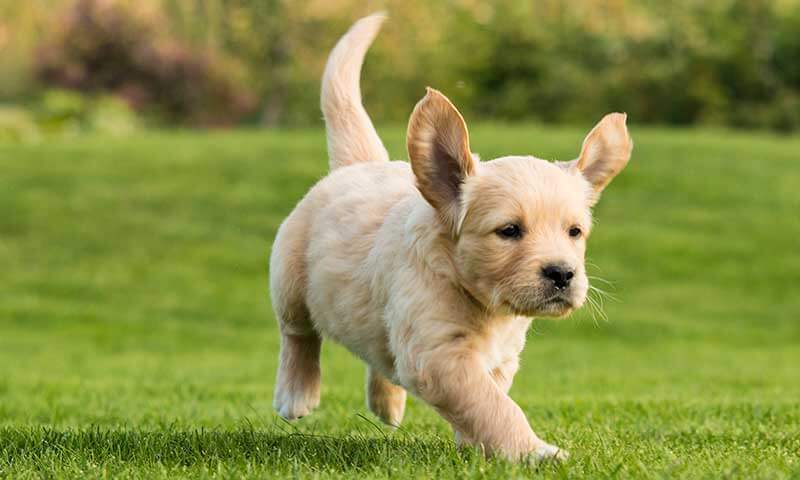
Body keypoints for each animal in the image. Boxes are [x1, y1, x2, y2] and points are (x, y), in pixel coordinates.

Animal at [268, 12, 632, 462]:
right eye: (509, 230)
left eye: (575, 231)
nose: (563, 274)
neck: (484, 303)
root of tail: (359, 164)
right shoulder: (437, 353)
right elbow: (492, 405)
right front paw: (533, 452)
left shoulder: (499, 358)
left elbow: (488, 400)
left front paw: (477, 445)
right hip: (289, 277)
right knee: (297, 334)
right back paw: (296, 394)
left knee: (378, 351)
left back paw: (387, 403)